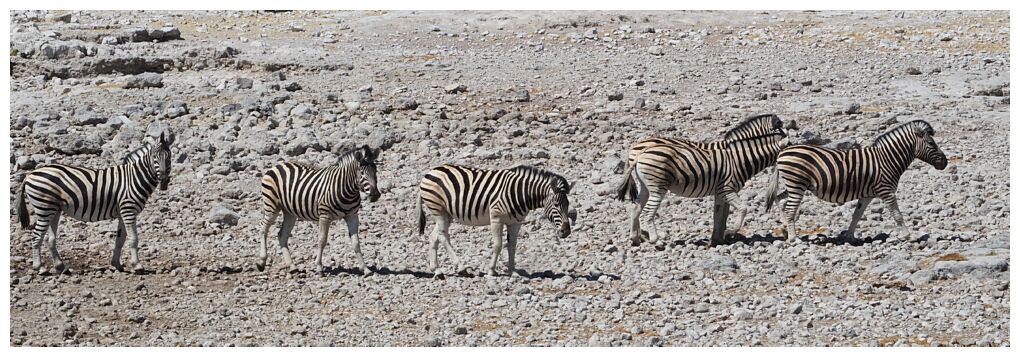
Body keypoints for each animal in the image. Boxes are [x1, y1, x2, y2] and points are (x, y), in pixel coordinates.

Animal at [14, 131, 174, 273]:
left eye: (169, 157)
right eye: (154, 157)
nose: (164, 181)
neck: (134, 178)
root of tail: (29, 175)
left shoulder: (122, 212)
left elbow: (120, 239)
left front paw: (116, 264)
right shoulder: (128, 210)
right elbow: (133, 239)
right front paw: (137, 265)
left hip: (54, 209)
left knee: (50, 239)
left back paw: (61, 267)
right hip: (44, 208)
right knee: (36, 236)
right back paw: (39, 268)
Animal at [255, 144, 383, 273]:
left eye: (375, 171)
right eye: (361, 173)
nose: (375, 195)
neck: (346, 189)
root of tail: (278, 165)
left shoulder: (352, 215)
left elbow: (356, 243)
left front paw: (365, 268)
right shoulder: (325, 215)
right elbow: (322, 240)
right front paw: (319, 266)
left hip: (290, 212)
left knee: (282, 235)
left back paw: (292, 266)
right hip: (271, 206)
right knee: (263, 229)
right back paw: (261, 262)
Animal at [416, 164, 575, 275]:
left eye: (568, 205)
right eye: (556, 205)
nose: (566, 231)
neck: (521, 194)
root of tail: (430, 172)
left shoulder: (516, 222)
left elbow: (512, 245)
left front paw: (513, 271)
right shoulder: (496, 218)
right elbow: (498, 245)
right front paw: (491, 270)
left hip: (446, 214)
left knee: (434, 237)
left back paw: (437, 270)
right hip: (438, 209)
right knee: (443, 237)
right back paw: (461, 268)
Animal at [612, 128, 787, 247]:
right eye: (790, 148)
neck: (740, 160)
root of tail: (640, 153)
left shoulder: (720, 193)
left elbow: (719, 215)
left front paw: (718, 239)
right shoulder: (727, 189)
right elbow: (743, 209)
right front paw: (730, 232)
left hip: (645, 186)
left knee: (635, 208)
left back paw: (635, 238)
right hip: (658, 186)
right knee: (647, 212)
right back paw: (656, 240)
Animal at [767, 119, 946, 242]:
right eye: (931, 143)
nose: (945, 163)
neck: (887, 159)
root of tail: (783, 151)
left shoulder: (867, 195)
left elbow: (857, 215)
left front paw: (850, 237)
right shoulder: (886, 191)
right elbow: (897, 215)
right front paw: (909, 236)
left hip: (795, 185)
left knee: (779, 199)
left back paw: (785, 228)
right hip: (797, 184)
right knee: (790, 209)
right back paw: (793, 238)